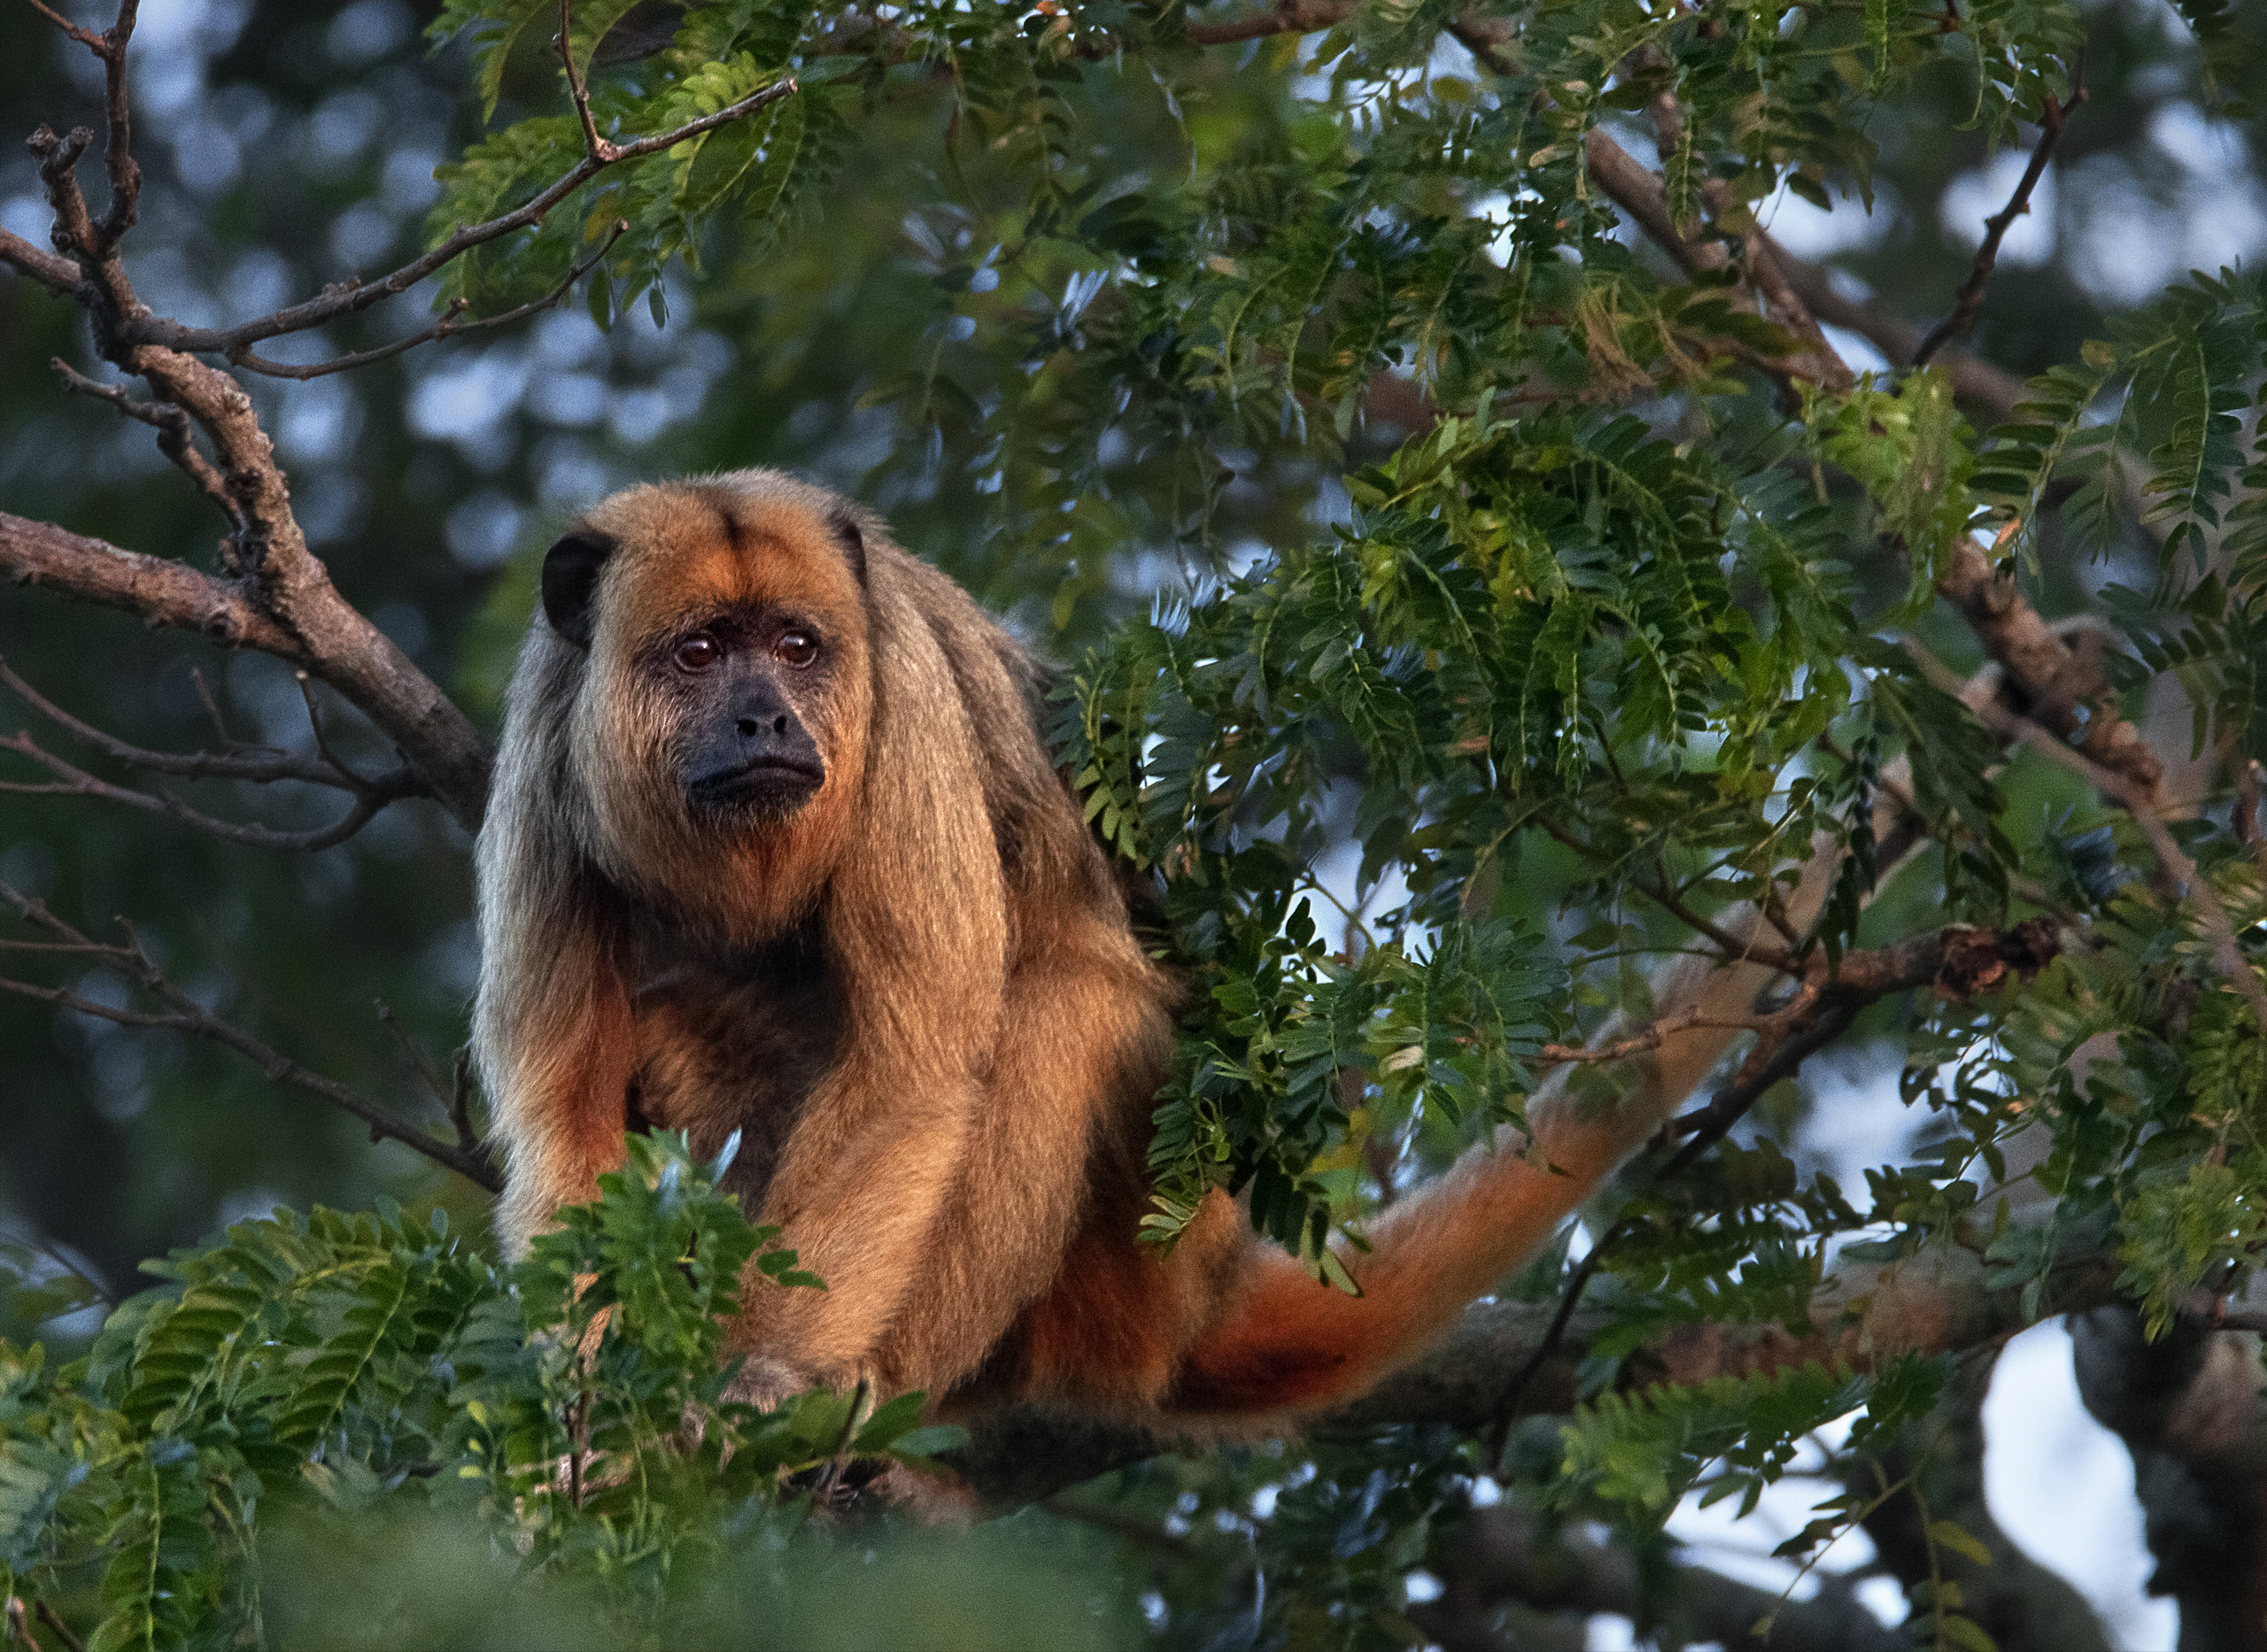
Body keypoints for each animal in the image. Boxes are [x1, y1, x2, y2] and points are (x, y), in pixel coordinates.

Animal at [480, 471, 1613, 1423]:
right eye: (701, 652)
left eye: (798, 648)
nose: (764, 721)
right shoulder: (544, 749)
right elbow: (565, 1112)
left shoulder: (906, 701)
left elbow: (913, 1073)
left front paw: (763, 1373)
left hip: (1144, 1266)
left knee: (1065, 1008)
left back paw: (878, 1393)